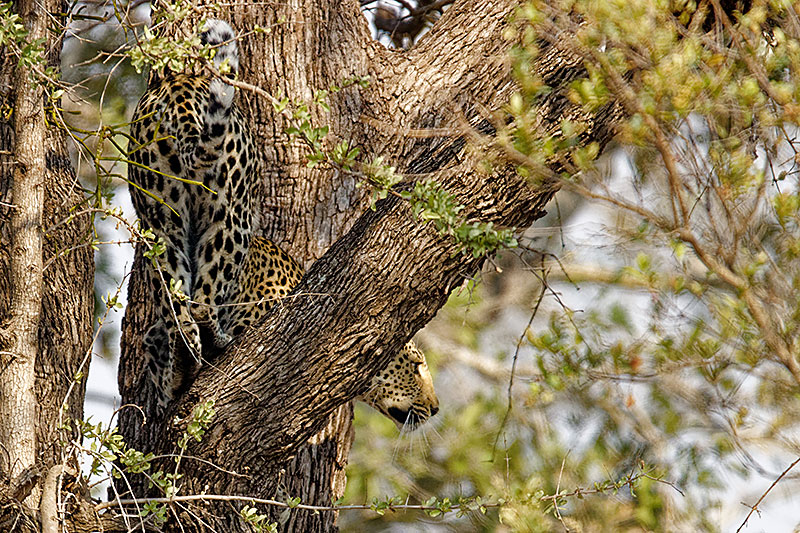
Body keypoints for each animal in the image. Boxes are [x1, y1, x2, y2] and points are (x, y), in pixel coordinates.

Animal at [127, 19, 259, 405]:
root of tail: (180, 99)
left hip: (160, 221)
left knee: (176, 304)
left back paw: (183, 359)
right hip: (230, 215)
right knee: (202, 300)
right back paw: (218, 338)